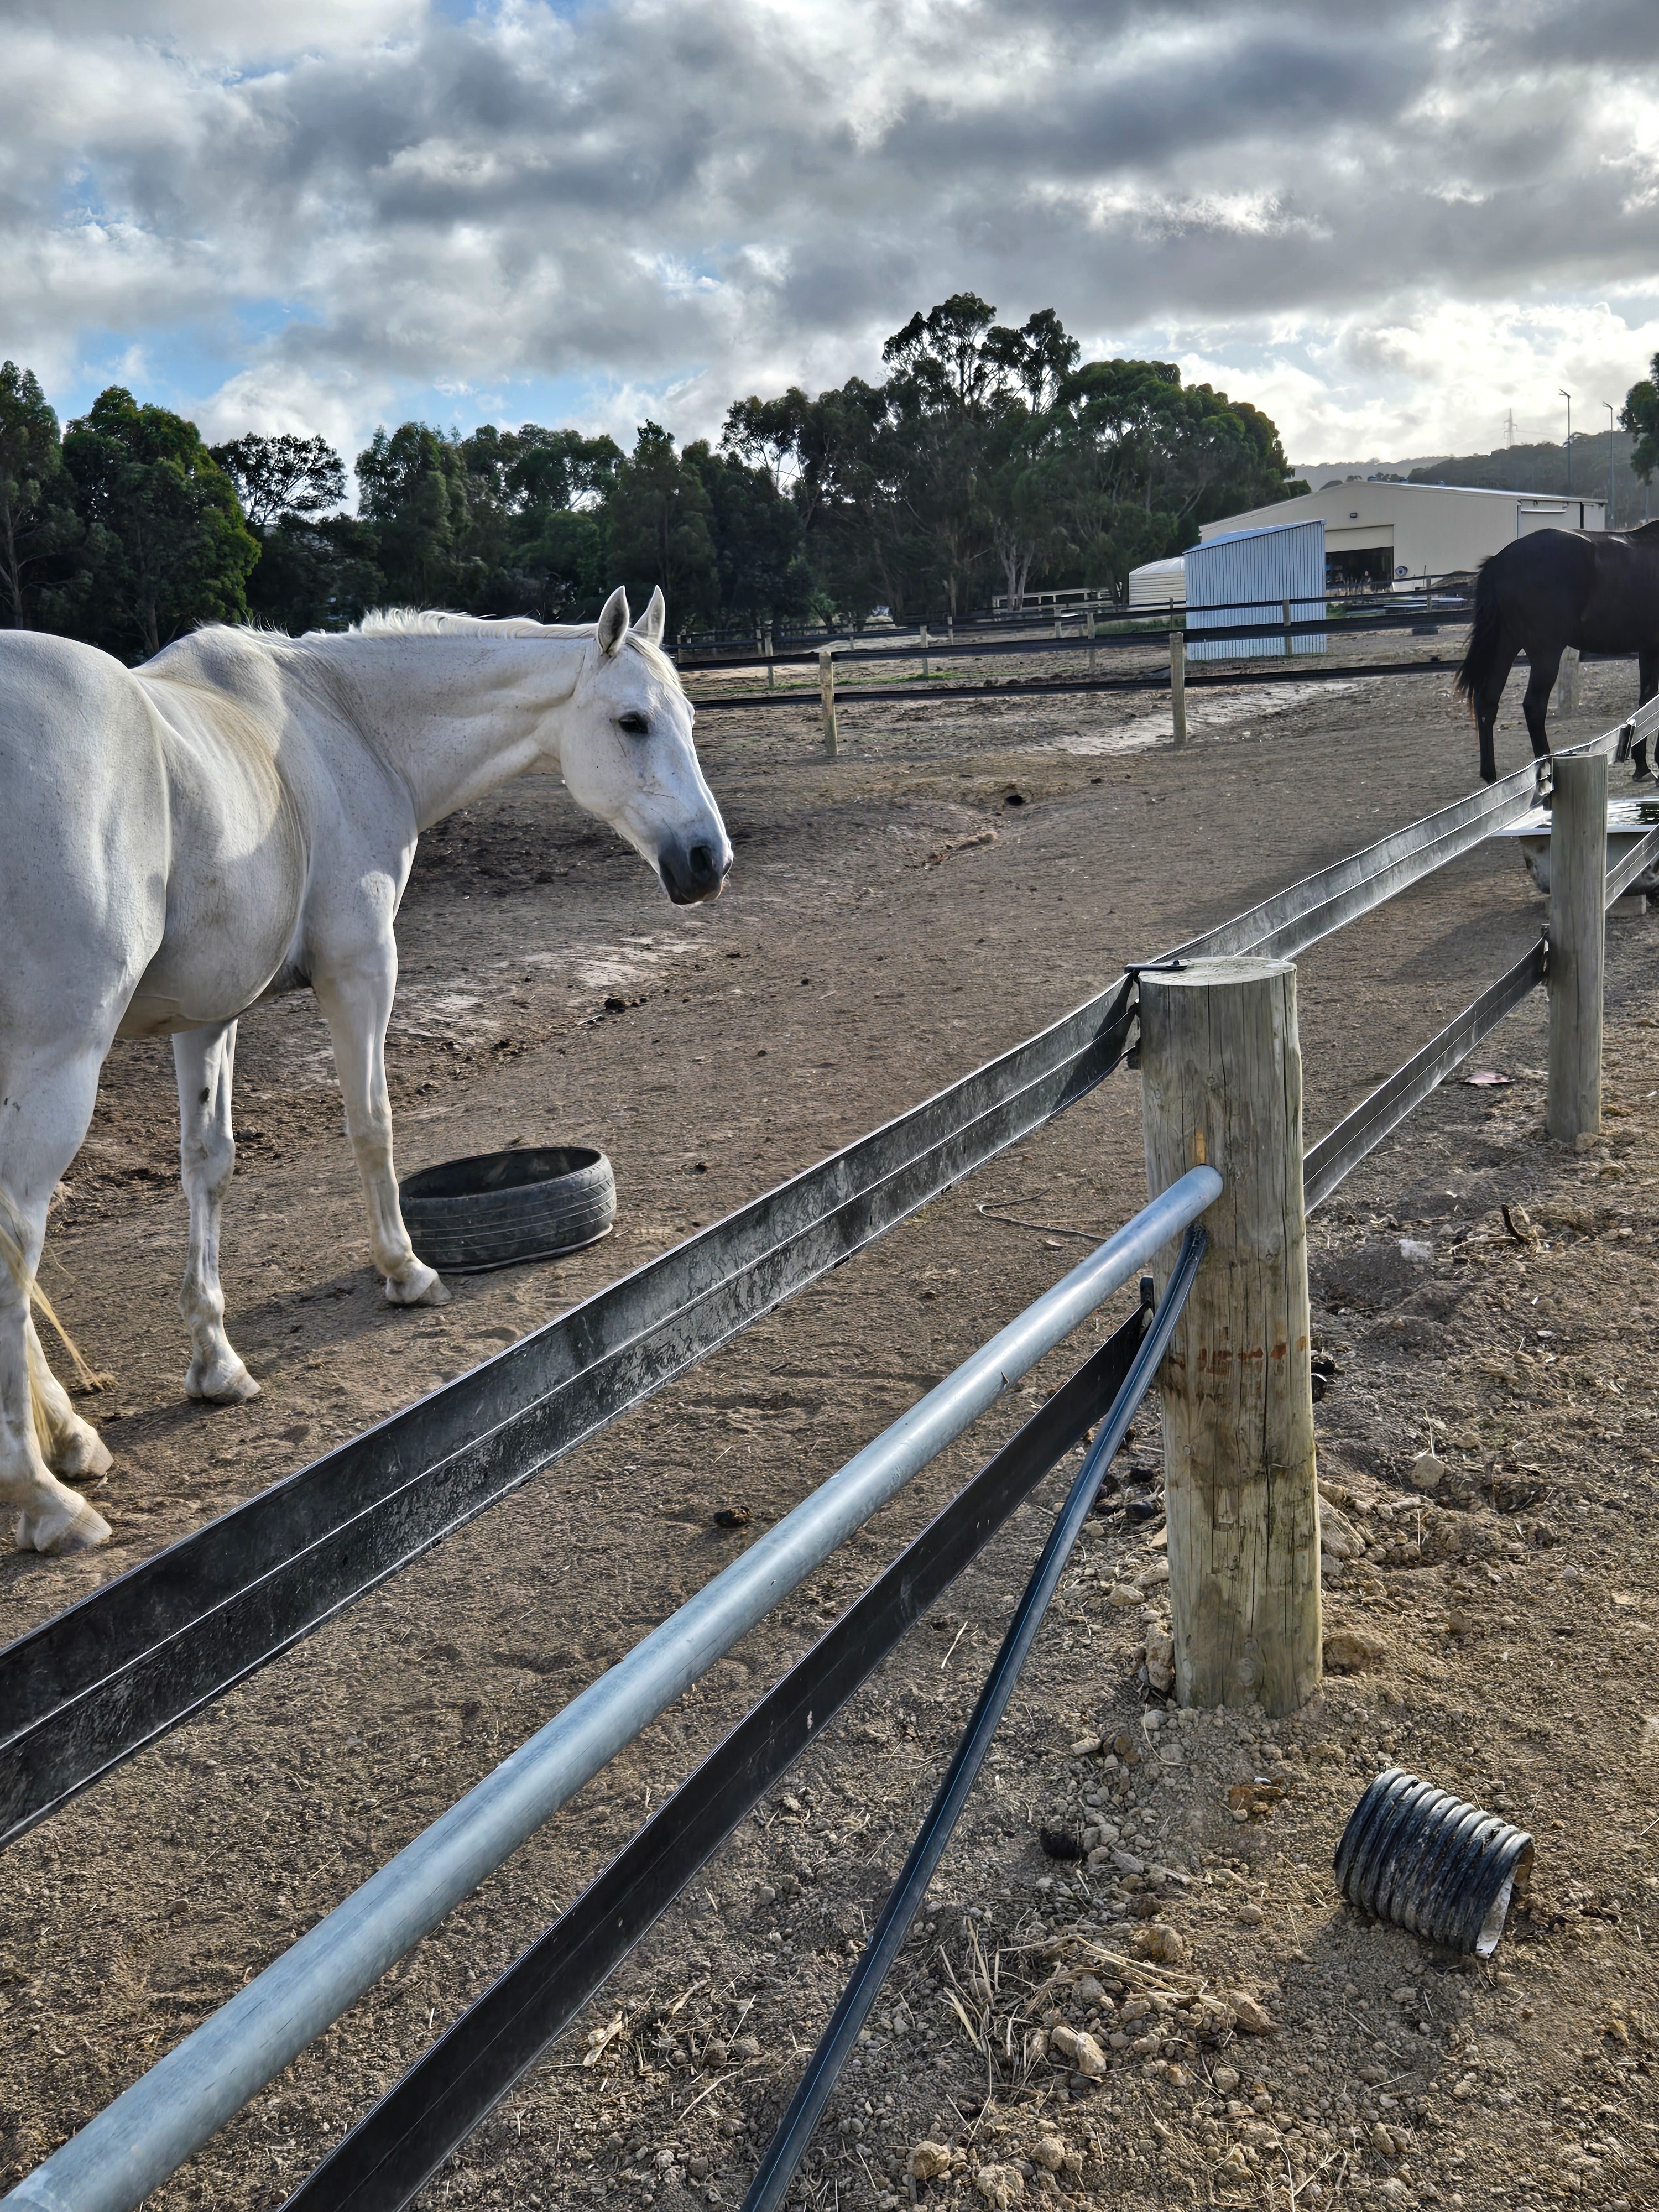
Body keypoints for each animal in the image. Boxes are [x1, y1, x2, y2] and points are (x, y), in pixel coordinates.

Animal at [0, 586, 730, 1556]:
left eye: (687, 718)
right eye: (632, 721)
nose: (707, 861)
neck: (343, 720)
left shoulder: (207, 1014)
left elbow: (208, 1167)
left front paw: (216, 1364)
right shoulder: (360, 966)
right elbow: (371, 1124)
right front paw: (406, 1270)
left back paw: (74, 1440)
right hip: (60, 1059)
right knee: (16, 1241)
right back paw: (47, 1500)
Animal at [1455, 522, 1659, 783]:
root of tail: (1499, 562)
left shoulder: (1649, 649)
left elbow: (1646, 703)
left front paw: (1642, 766)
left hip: (1505, 647)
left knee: (1487, 702)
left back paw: (1491, 777)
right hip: (1546, 655)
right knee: (1534, 706)